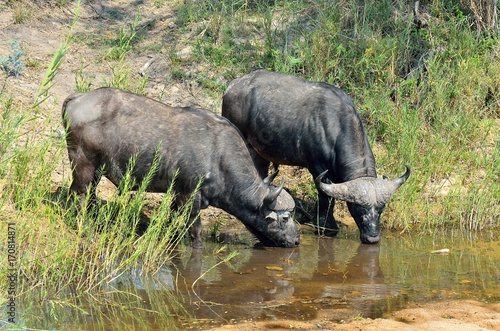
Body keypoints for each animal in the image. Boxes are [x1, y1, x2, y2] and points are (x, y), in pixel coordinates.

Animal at [223, 70, 410, 245]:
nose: (372, 238)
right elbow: (326, 198)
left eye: (381, 209)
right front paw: (327, 226)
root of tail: (232, 87)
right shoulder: (319, 169)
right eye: (358, 209)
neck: (335, 127)